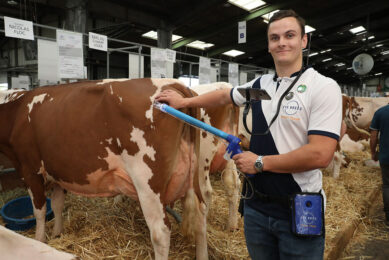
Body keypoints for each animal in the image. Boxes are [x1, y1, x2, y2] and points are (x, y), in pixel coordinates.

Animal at [0, 79, 211, 260]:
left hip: (147, 181)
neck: (17, 113)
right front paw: (57, 234)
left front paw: (40, 240)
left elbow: (40, 211)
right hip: (196, 174)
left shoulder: (29, 169)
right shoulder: (58, 171)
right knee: (200, 216)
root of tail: (173, 84)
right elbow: (58, 205)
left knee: (160, 231)